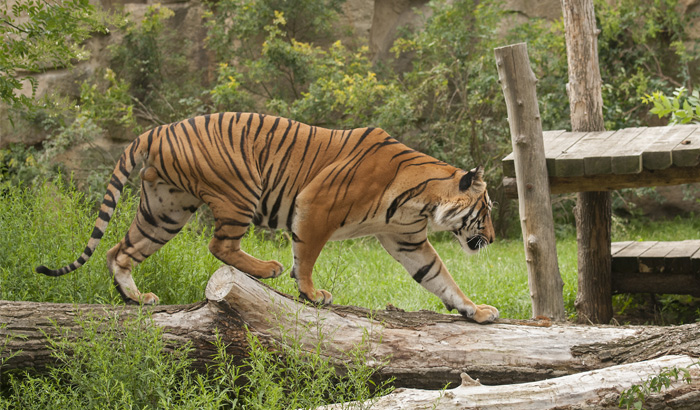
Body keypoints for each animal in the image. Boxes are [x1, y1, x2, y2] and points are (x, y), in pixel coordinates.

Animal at [37, 112, 498, 324]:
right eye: (487, 211)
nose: (493, 238)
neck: (423, 200)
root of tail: (159, 129)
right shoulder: (316, 205)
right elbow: (306, 257)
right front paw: (312, 293)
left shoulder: (407, 239)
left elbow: (439, 277)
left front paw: (475, 310)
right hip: (238, 189)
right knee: (220, 244)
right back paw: (267, 268)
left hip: (163, 211)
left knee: (119, 251)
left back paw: (135, 298)